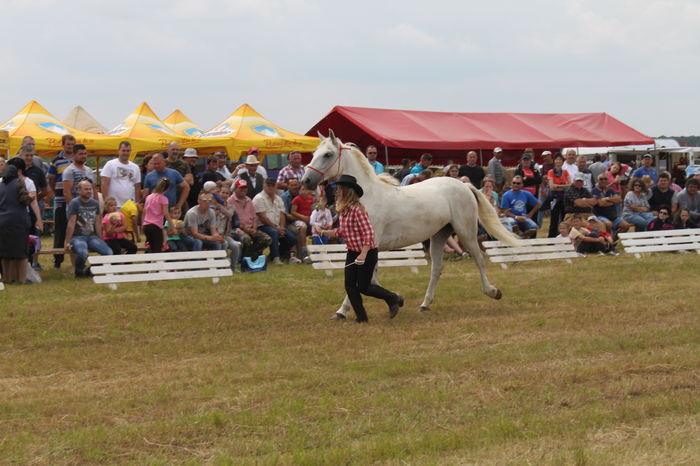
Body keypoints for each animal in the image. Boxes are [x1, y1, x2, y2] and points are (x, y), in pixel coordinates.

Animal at [301, 130, 519, 318]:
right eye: (314, 153)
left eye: (328, 154)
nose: (306, 181)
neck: (366, 197)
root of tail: (464, 185)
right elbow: (367, 279)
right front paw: (392, 301)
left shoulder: (369, 245)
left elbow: (364, 279)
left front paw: (344, 311)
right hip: (439, 235)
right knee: (437, 268)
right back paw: (424, 304)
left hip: (466, 232)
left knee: (479, 259)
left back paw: (493, 291)